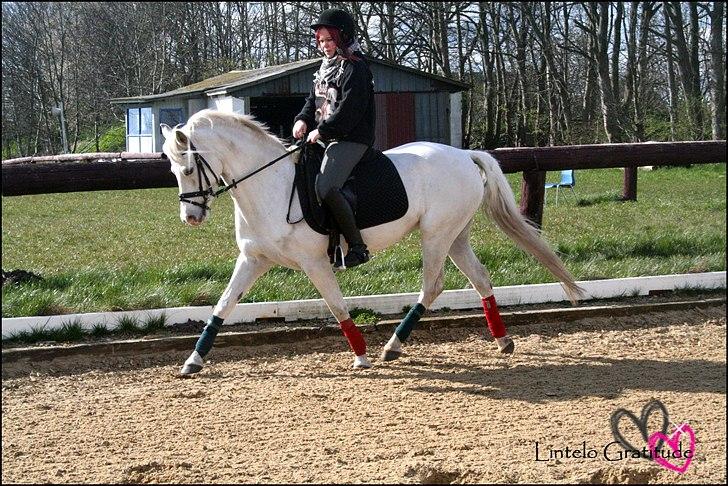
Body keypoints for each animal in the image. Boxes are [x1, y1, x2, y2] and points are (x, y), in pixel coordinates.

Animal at [160, 109, 583, 375]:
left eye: (188, 167)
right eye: (172, 169)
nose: (191, 218)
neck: (270, 187)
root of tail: (464, 155)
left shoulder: (314, 262)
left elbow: (335, 305)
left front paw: (361, 356)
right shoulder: (252, 259)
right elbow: (223, 305)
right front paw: (193, 361)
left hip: (436, 235)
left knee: (433, 285)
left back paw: (392, 347)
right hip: (454, 235)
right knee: (479, 278)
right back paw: (502, 341)